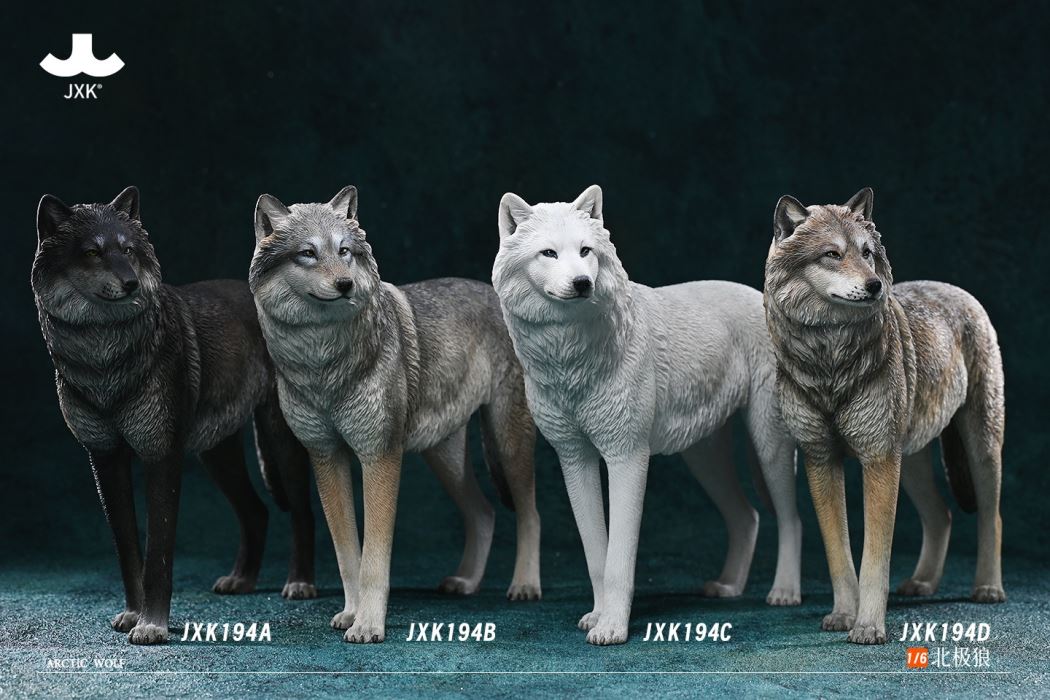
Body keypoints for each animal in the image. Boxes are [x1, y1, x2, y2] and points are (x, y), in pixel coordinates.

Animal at [31, 187, 316, 645]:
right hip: (217, 454)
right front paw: (132, 615)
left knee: (303, 512)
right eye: (92, 253)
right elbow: (127, 547)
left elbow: (159, 552)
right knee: (257, 512)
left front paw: (151, 626)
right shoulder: (106, 458)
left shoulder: (161, 456)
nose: (130, 283)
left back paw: (300, 584)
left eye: (128, 250)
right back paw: (241, 581)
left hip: (280, 440)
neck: (104, 358)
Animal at [249, 186, 541, 644]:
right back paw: (465, 582)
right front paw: (351, 614)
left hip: (507, 443)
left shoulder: (379, 457)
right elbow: (347, 554)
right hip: (444, 459)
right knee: (485, 513)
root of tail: (500, 298)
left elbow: (373, 558)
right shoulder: (327, 458)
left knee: (530, 513)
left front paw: (369, 625)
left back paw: (525, 586)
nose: (345, 284)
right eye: (308, 254)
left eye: (344, 251)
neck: (322, 364)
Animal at [492, 185, 802, 646]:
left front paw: (613, 628)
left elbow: (619, 559)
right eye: (549, 253)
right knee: (747, 517)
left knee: (790, 519)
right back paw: (728, 587)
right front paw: (597, 616)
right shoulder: (575, 459)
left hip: (770, 447)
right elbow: (596, 556)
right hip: (705, 460)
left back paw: (784, 592)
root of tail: (759, 296)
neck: (569, 359)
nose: (582, 283)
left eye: (585, 251)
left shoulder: (627, 457)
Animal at [764, 188, 1006, 645]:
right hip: (909, 461)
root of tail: (958, 290)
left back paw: (988, 588)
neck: (830, 362)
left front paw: (868, 626)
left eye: (867, 253)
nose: (875, 286)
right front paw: (845, 614)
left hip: (979, 449)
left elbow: (874, 556)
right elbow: (839, 553)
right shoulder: (822, 460)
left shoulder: (877, 460)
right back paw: (922, 583)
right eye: (832, 254)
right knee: (942, 516)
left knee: (991, 515)